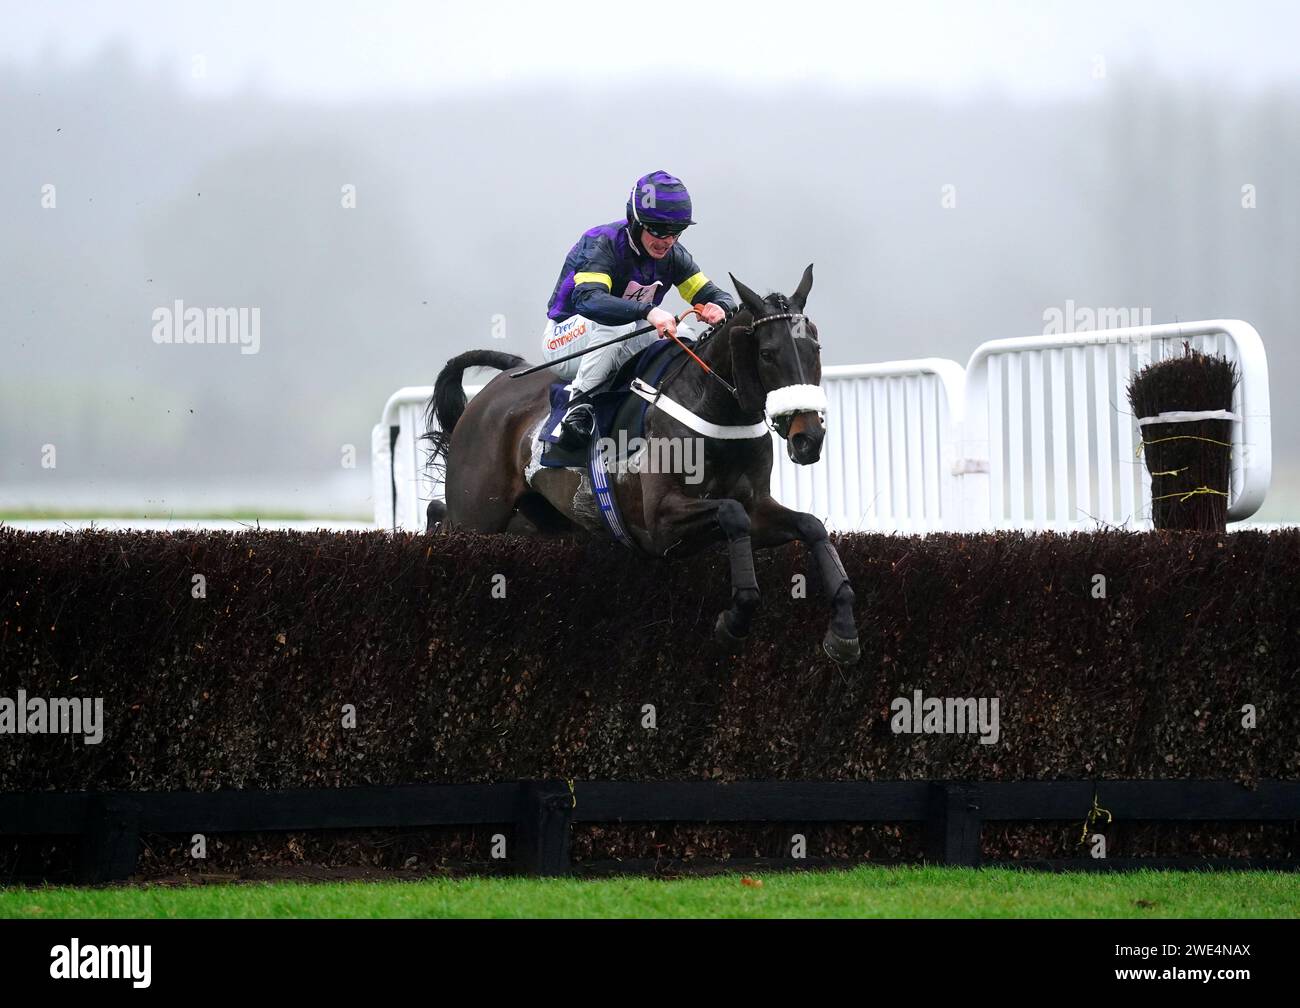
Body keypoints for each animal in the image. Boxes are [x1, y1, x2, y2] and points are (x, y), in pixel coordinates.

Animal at [421, 264, 857, 665]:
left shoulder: (759, 506)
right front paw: (735, 618)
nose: (808, 437)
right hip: (478, 514)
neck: (712, 407)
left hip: (538, 522)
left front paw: (843, 630)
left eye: (815, 350)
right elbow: (733, 515)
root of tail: (496, 386)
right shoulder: (660, 523)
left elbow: (810, 525)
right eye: (767, 354)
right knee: (441, 514)